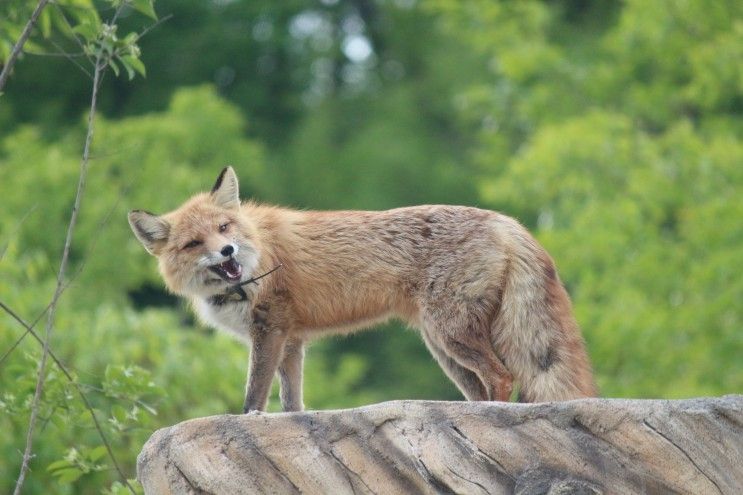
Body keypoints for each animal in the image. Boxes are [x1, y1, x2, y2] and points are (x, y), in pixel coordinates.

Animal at [126, 169, 592, 412]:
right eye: (193, 243)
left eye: (224, 228)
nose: (227, 250)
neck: (257, 255)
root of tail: (505, 220)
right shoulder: (291, 340)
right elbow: (292, 402)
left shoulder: (269, 331)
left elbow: (254, 396)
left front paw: (248, 421)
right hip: (444, 348)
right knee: (482, 385)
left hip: (451, 335)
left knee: (502, 375)